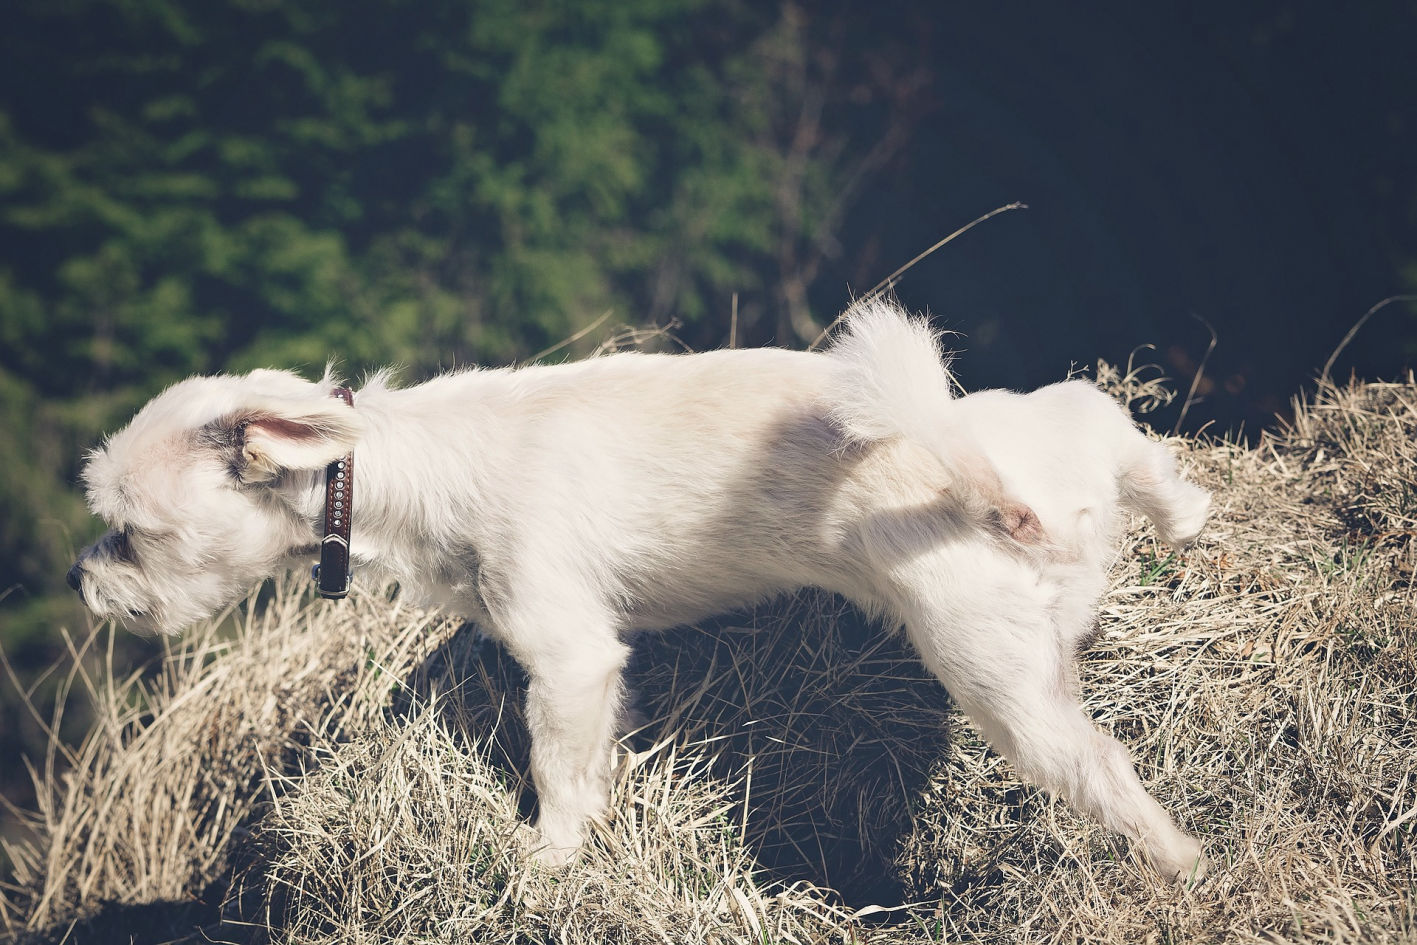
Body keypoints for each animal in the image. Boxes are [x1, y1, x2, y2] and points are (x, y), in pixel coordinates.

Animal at [71, 301, 1207, 878]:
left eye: (130, 531)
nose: (85, 579)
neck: (401, 467)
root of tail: (973, 477)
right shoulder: (601, 671)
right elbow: (604, 756)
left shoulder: (567, 655)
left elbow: (557, 767)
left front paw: (548, 859)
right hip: (1060, 431)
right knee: (1128, 442)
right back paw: (1187, 512)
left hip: (991, 668)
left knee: (1100, 767)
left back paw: (1180, 865)